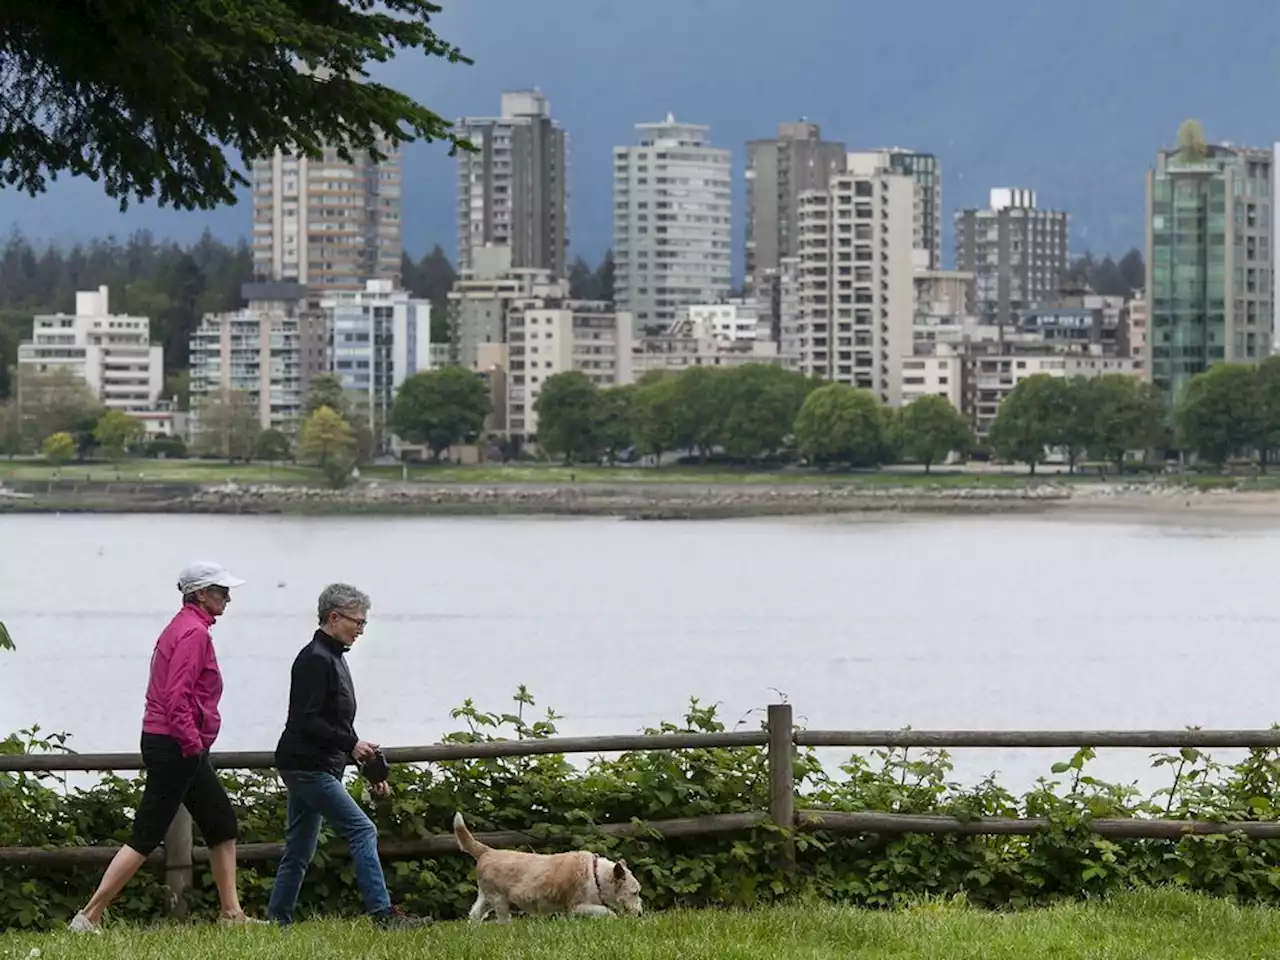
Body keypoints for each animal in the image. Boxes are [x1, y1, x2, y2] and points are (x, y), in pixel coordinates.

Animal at [455, 814, 645, 926]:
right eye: (634, 893)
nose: (641, 914)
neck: (597, 874)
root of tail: (487, 851)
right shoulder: (577, 906)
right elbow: (607, 912)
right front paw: (612, 917)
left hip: (486, 897)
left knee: (474, 913)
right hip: (499, 899)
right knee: (502, 919)